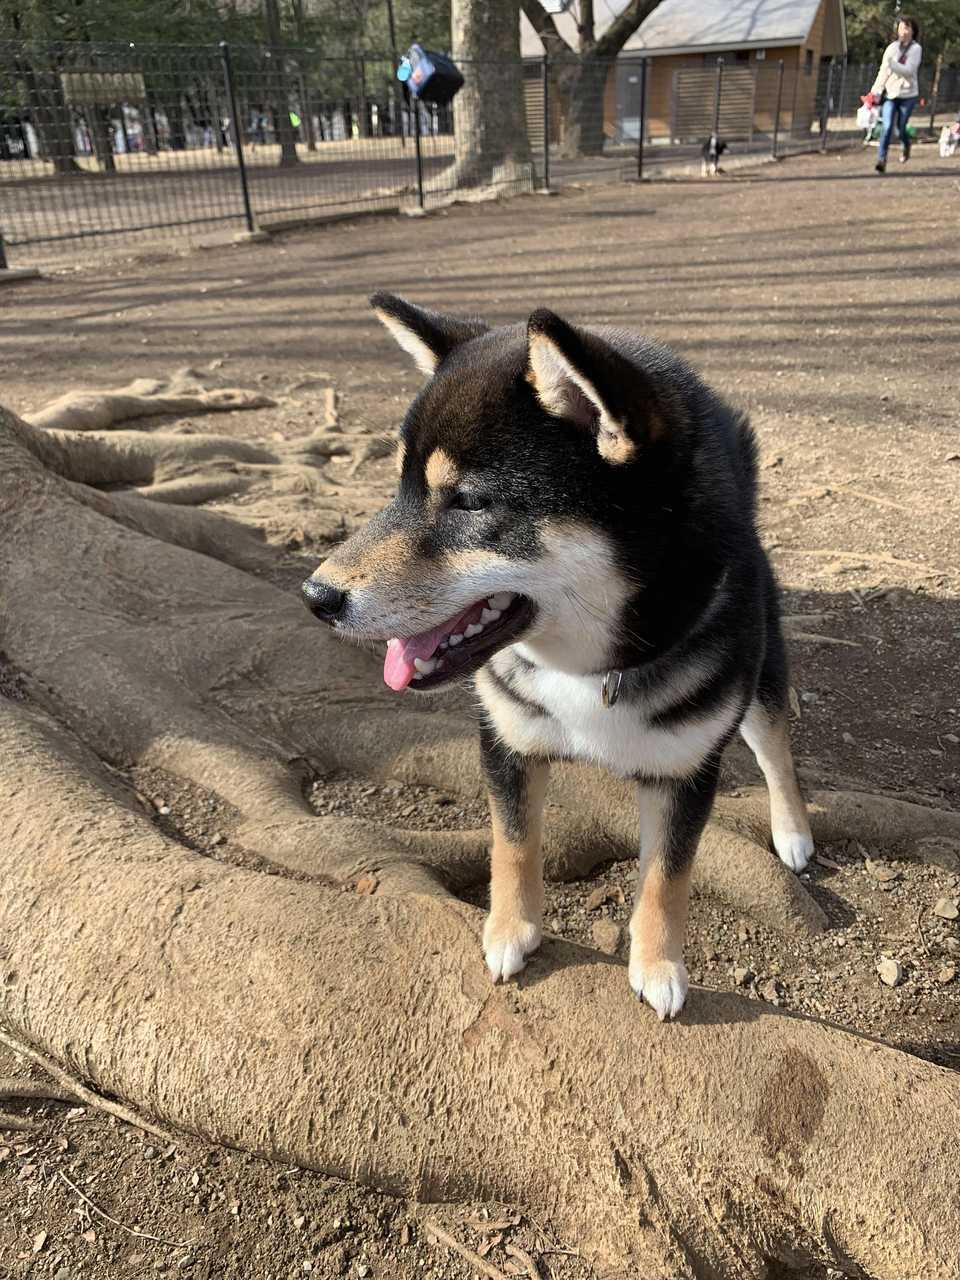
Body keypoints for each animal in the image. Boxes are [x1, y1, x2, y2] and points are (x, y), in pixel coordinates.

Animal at [304, 296, 814, 1018]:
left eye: (467, 502)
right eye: (397, 488)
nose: (315, 595)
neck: (590, 671)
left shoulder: (689, 770)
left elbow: (666, 879)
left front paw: (658, 966)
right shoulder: (507, 740)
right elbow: (513, 847)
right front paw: (510, 931)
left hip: (759, 678)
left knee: (776, 749)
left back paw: (794, 833)